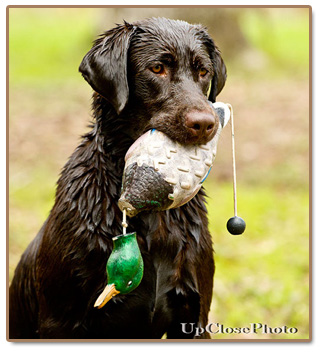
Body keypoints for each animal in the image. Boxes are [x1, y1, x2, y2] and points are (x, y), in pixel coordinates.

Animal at [9, 17, 228, 338]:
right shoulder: (61, 321)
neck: (153, 219)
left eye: (203, 71)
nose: (206, 124)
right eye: (157, 68)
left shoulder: (195, 318)